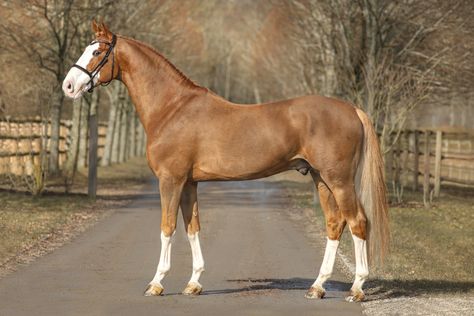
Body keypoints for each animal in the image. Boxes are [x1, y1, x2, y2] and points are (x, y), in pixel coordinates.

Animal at [63, 21, 388, 302]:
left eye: (96, 52)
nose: (68, 86)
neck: (172, 108)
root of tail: (352, 109)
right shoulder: (189, 183)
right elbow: (192, 227)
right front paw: (193, 283)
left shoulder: (170, 180)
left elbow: (167, 228)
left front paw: (156, 283)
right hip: (321, 179)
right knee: (335, 223)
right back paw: (317, 287)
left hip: (339, 180)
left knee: (358, 222)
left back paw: (357, 289)